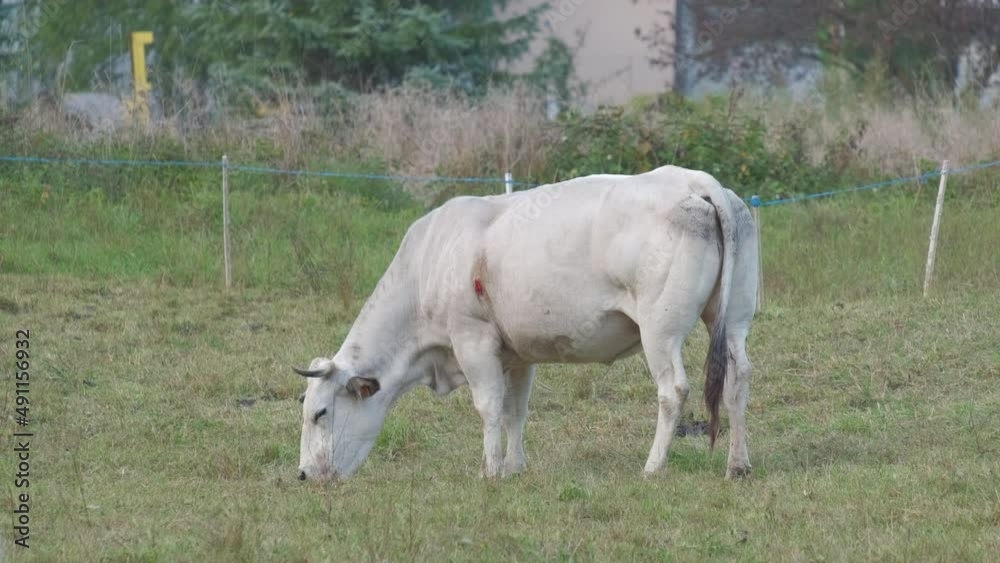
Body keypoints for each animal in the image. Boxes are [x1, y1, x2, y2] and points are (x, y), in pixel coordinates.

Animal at [294, 165, 758, 481]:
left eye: (319, 413)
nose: (303, 474)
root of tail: (697, 182)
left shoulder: (472, 339)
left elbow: (488, 407)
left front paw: (489, 471)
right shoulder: (518, 353)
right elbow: (516, 410)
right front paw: (514, 467)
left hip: (660, 331)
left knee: (672, 389)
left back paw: (653, 466)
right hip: (733, 320)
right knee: (737, 379)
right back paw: (738, 464)